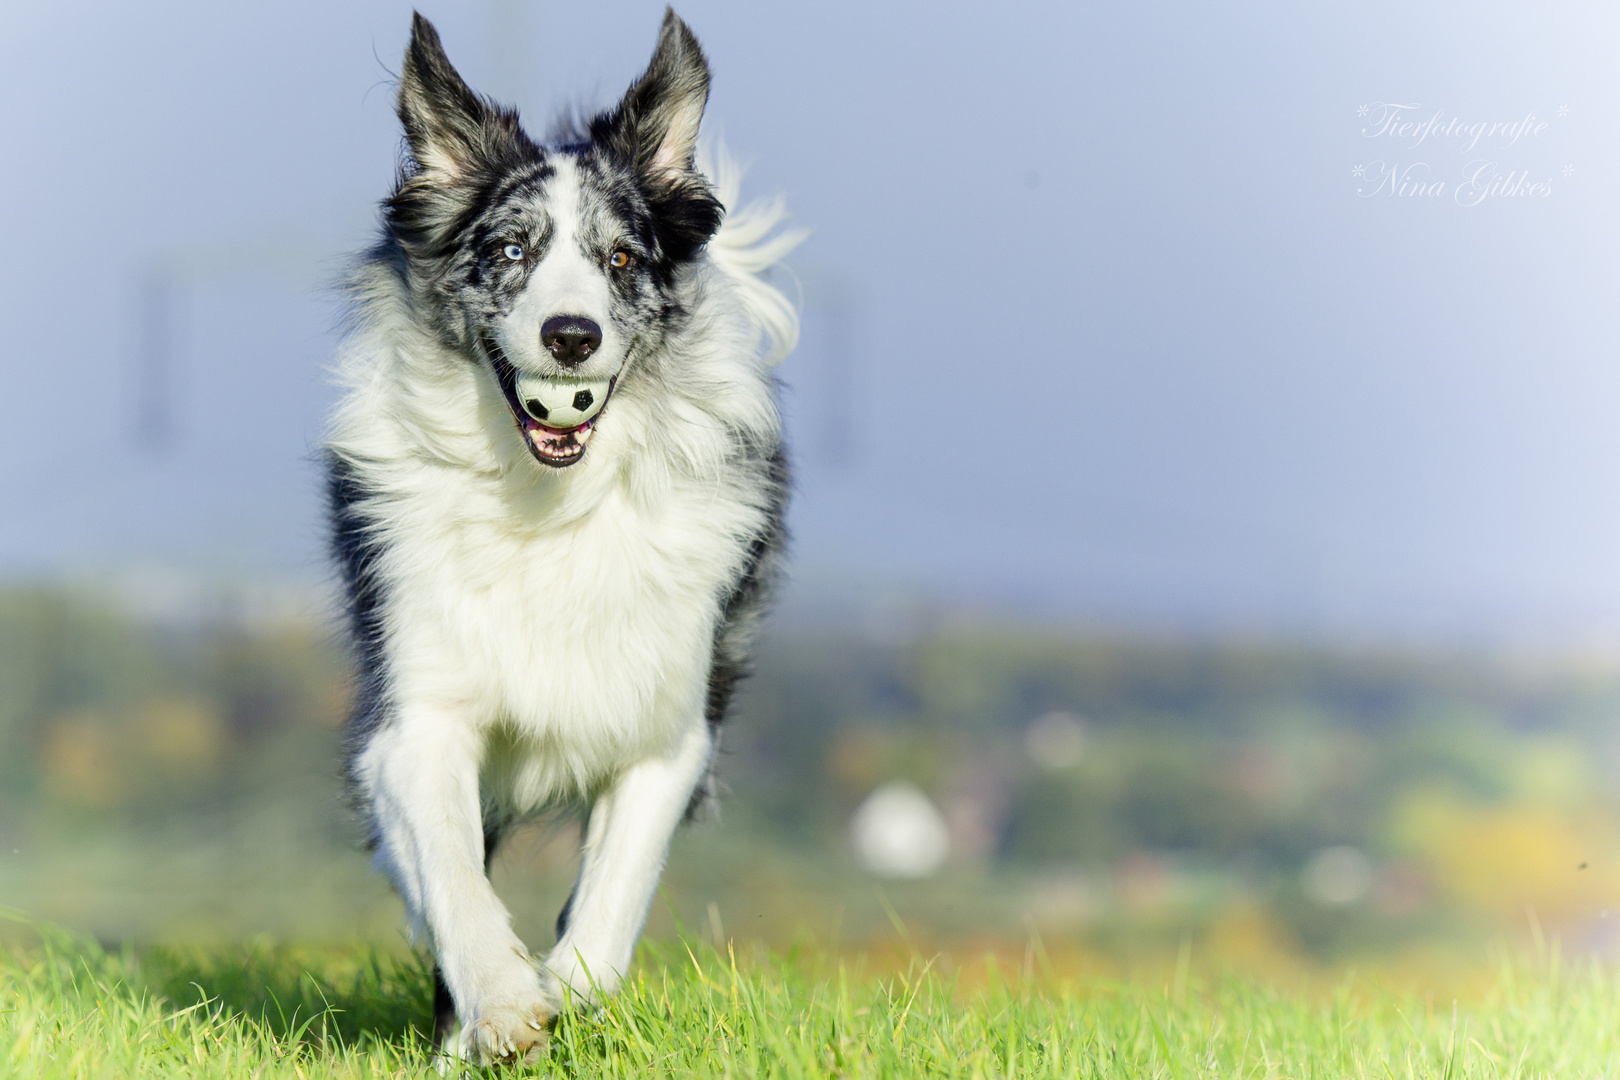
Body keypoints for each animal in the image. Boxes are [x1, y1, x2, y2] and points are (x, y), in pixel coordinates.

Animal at [322, 10, 797, 1062]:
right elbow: (451, 877)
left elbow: (606, 910)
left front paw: (564, 999)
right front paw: (500, 1010)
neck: (550, 503)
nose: (571, 336)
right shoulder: (416, 717)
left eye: (620, 259)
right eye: (508, 251)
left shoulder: (670, 731)